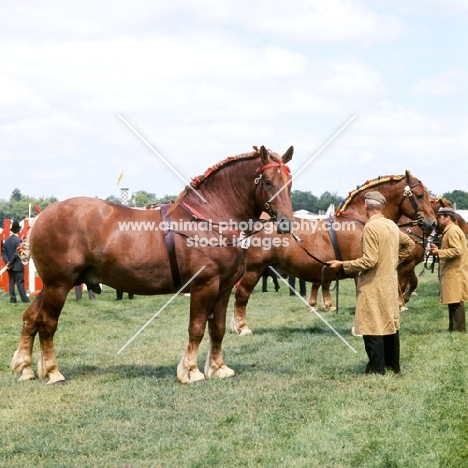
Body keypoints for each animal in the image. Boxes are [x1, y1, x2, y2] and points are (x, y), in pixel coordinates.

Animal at [12, 146, 294, 384]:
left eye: (289, 183)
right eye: (267, 182)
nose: (285, 223)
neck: (210, 219)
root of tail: (40, 218)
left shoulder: (223, 288)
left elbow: (218, 329)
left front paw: (218, 368)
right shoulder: (204, 286)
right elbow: (196, 328)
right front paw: (191, 371)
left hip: (53, 285)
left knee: (31, 319)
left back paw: (25, 368)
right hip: (59, 285)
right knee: (47, 323)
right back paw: (52, 372)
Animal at [230, 172, 436, 336]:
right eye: (419, 195)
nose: (432, 223)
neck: (359, 220)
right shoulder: (361, 270)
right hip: (253, 270)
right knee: (241, 294)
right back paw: (242, 328)